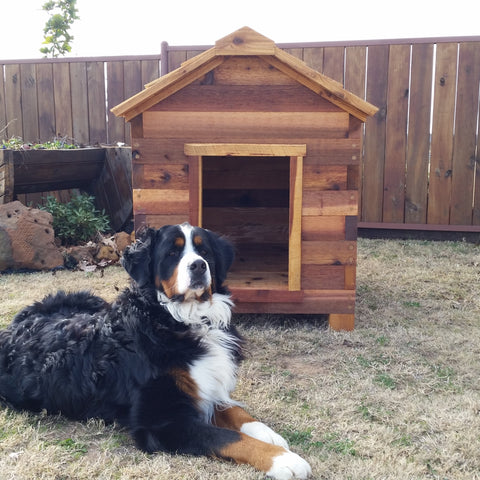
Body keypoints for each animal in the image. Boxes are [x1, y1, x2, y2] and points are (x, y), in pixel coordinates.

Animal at [0, 223, 312, 478]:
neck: (179, 320)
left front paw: (268, 434)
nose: (199, 266)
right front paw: (284, 460)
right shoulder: (162, 421)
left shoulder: (205, 387)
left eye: (204, 250)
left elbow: (236, 412)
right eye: (172, 253)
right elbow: (227, 438)